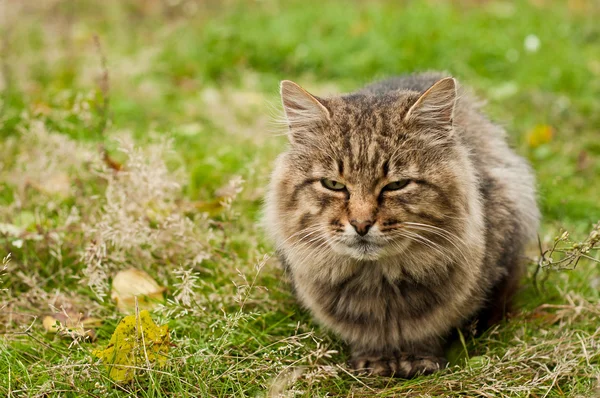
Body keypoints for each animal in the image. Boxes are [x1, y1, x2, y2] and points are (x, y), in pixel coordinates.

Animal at [262, 73, 540, 378]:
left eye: (396, 185)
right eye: (333, 184)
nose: (361, 224)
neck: (377, 283)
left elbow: (429, 332)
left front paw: (418, 360)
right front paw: (374, 360)